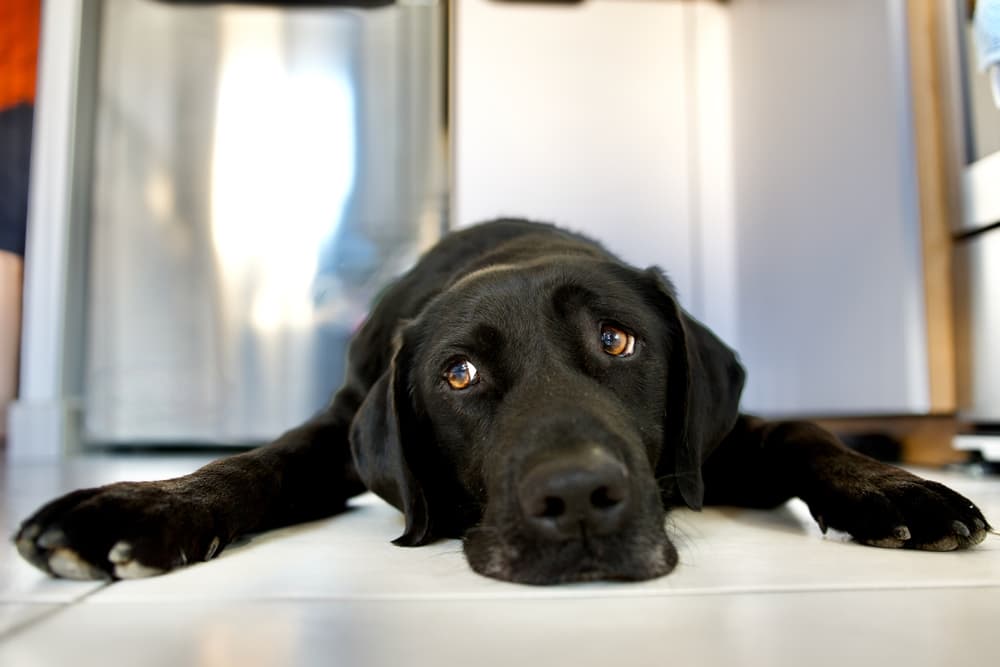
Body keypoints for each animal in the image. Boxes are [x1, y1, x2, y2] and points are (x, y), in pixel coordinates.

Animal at [11, 220, 988, 584]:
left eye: (617, 340)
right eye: (458, 375)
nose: (580, 500)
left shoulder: (713, 444)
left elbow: (804, 431)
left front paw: (896, 490)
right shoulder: (336, 427)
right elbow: (254, 463)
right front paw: (138, 506)